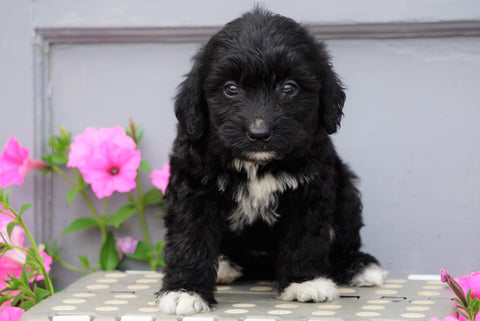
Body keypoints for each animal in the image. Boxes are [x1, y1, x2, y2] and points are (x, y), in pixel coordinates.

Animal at [156, 8, 388, 314]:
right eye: (231, 88)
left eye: (288, 88)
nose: (259, 133)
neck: (258, 164)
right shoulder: (193, 187)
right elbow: (189, 237)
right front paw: (185, 291)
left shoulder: (311, 188)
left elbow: (305, 236)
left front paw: (304, 281)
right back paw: (224, 266)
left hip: (346, 190)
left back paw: (357, 266)